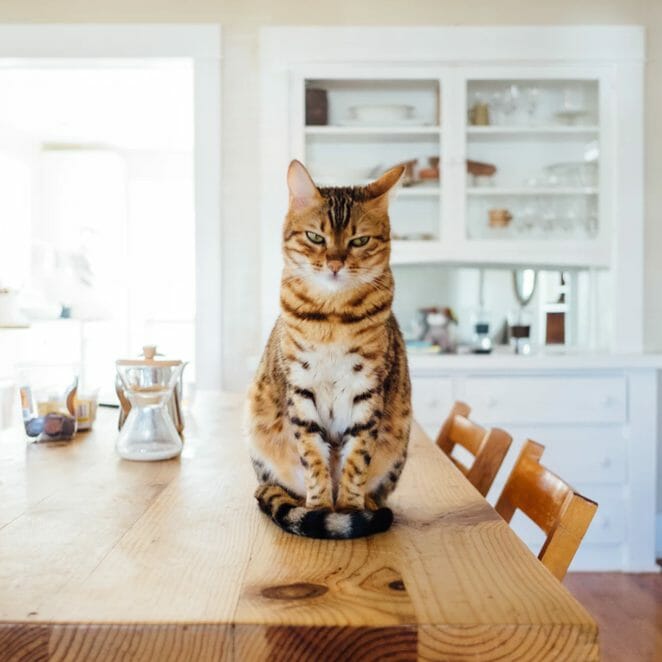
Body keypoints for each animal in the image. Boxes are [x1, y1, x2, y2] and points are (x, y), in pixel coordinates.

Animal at [246, 160, 412, 540]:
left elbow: (357, 459)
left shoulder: (368, 390)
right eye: (315, 237)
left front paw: (349, 509)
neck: (333, 317)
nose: (335, 263)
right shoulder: (301, 388)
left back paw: (369, 505)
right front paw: (320, 508)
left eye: (359, 240)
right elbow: (313, 457)